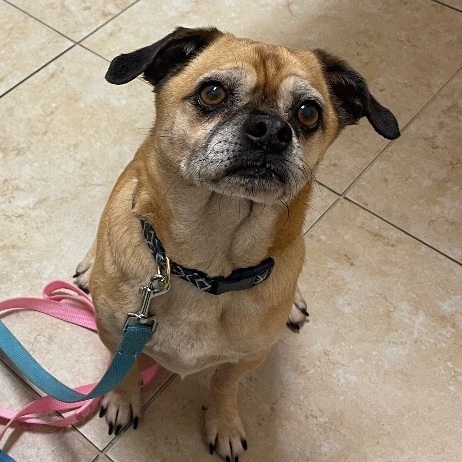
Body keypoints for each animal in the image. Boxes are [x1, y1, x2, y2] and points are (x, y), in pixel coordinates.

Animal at [74, 26, 398, 462]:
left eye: (308, 113)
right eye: (213, 93)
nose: (271, 131)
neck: (205, 264)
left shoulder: (246, 358)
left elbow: (224, 387)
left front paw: (223, 423)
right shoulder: (114, 331)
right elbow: (123, 368)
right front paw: (124, 399)